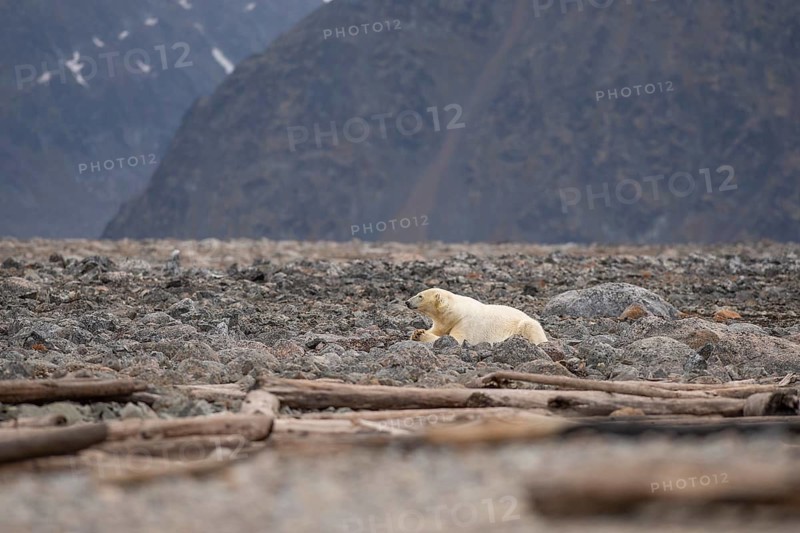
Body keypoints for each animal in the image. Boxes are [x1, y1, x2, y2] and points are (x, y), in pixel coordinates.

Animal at [405, 288, 548, 345]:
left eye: (420, 296)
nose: (407, 302)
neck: (456, 312)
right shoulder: (443, 323)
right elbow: (437, 330)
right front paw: (416, 332)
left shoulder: (467, 323)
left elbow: (456, 340)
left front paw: (421, 334)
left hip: (526, 323)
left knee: (530, 326)